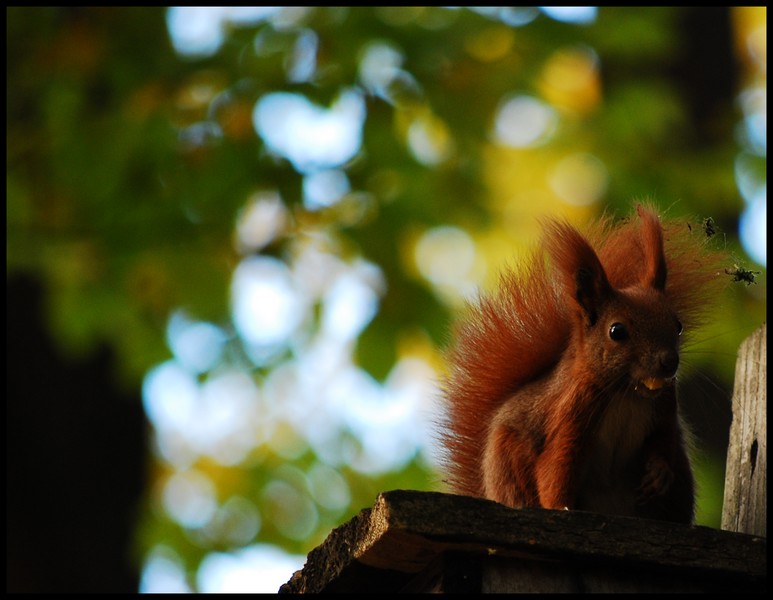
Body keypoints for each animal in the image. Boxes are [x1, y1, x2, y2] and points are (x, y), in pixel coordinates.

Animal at [444, 204, 728, 524]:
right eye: (617, 331)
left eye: (677, 325)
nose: (669, 362)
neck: (627, 393)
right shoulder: (570, 414)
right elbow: (556, 468)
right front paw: (560, 507)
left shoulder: (666, 407)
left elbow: (662, 442)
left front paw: (658, 474)